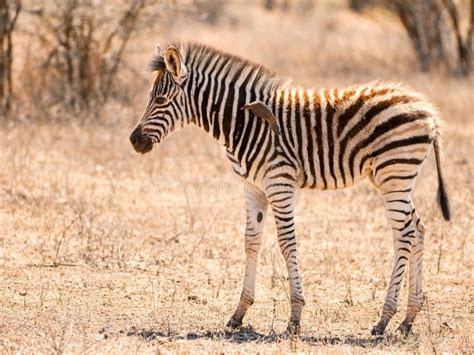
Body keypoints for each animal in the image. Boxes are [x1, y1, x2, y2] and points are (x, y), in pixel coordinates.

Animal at [130, 41, 452, 336]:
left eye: (161, 99)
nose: (134, 140)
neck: (245, 122)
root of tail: (428, 111)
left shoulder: (279, 183)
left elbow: (287, 243)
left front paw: (295, 319)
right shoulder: (253, 187)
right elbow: (251, 242)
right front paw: (238, 314)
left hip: (394, 174)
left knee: (405, 235)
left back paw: (384, 319)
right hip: (394, 178)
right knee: (418, 229)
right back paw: (407, 320)